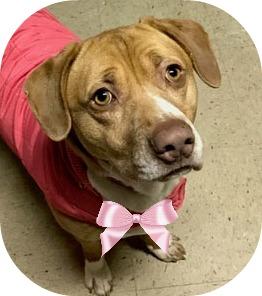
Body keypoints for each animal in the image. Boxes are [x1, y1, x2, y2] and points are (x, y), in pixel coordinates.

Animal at [0, 8, 220, 294]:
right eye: (102, 96)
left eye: (173, 71)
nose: (177, 142)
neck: (139, 192)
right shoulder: (76, 224)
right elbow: (93, 248)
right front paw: (98, 274)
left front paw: (161, 245)